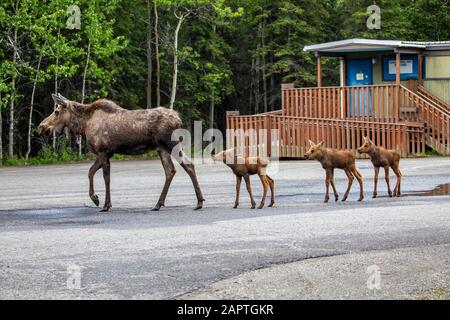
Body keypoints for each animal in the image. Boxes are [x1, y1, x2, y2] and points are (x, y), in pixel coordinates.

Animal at [37, 94, 205, 211]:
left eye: (56, 111)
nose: (41, 126)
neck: (83, 126)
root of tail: (179, 120)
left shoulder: (103, 151)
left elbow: (106, 178)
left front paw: (106, 204)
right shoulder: (105, 153)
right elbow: (90, 172)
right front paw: (95, 198)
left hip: (171, 144)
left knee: (188, 164)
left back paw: (199, 202)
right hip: (161, 148)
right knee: (170, 170)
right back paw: (159, 204)